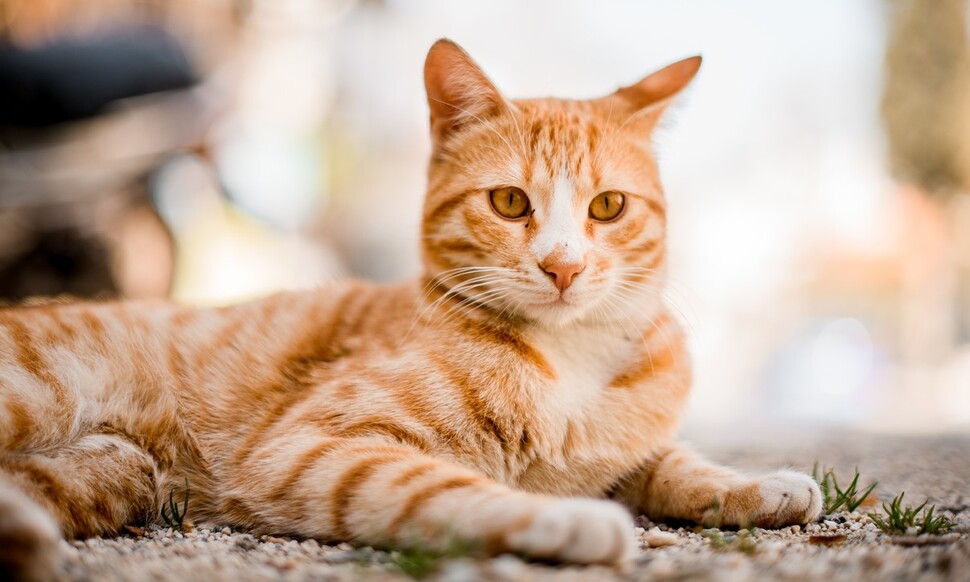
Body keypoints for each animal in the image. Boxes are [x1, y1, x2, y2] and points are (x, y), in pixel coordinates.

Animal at [0, 40, 816, 580]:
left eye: (609, 207)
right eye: (509, 202)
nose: (563, 266)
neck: (569, 360)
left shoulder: (622, 450)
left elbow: (674, 461)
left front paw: (759, 484)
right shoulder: (314, 447)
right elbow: (453, 489)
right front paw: (570, 521)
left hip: (116, 469)